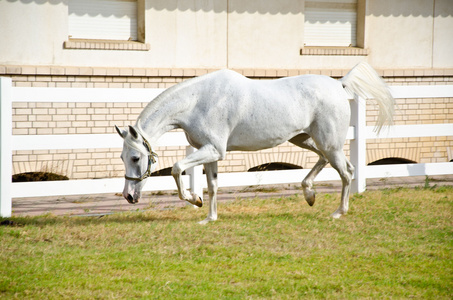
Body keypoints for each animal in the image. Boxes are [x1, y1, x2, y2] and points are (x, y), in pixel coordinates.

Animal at [115, 62, 392, 224]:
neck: (198, 101)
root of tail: (338, 84)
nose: (128, 196)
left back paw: (338, 212)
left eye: (136, 158)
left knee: (346, 172)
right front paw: (210, 217)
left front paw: (194, 200)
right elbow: (213, 186)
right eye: (122, 158)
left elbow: (176, 168)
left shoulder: (213, 150)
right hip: (306, 139)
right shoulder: (211, 153)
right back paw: (310, 194)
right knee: (333, 163)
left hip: (329, 142)